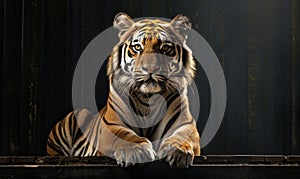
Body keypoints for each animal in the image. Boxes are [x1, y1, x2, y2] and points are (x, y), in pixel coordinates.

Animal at [47, 12, 200, 168]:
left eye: (165, 48)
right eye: (138, 47)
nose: (150, 68)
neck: (148, 98)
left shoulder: (185, 124)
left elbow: (182, 136)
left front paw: (180, 151)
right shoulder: (112, 124)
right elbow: (125, 135)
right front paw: (136, 151)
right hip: (77, 115)